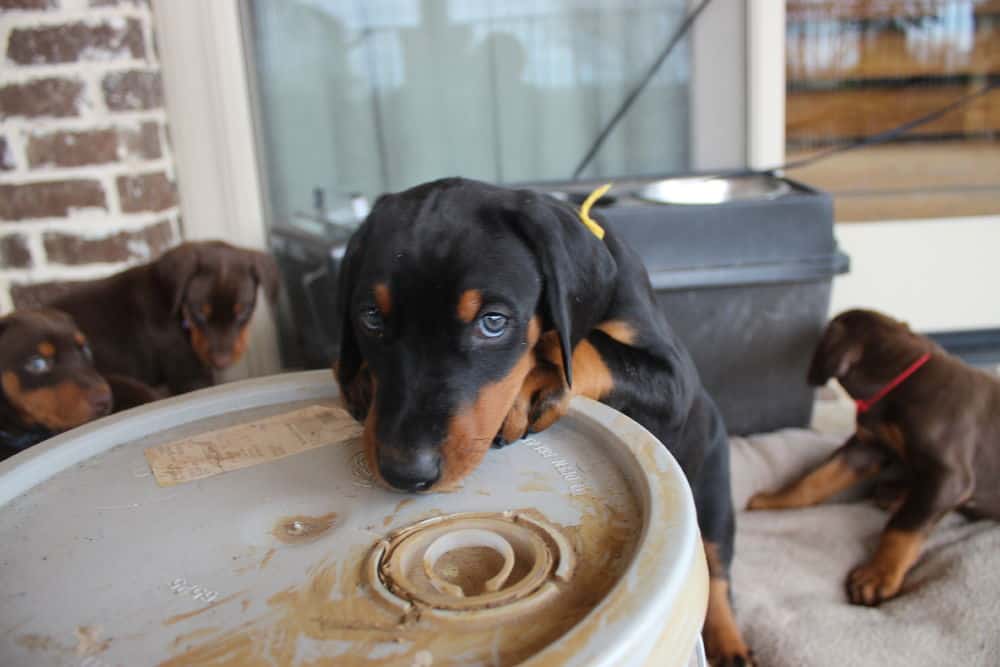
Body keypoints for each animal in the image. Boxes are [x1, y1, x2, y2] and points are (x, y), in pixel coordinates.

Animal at [336, 179, 752, 667]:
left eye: (493, 322)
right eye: (370, 317)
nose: (405, 472)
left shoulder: (673, 380)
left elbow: (584, 348)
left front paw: (533, 386)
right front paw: (358, 376)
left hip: (712, 487)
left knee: (717, 567)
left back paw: (730, 643)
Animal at [748, 310, 1000, 608]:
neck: (903, 378)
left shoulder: (950, 477)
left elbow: (903, 526)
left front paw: (878, 575)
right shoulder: (867, 447)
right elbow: (813, 480)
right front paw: (772, 500)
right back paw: (894, 493)